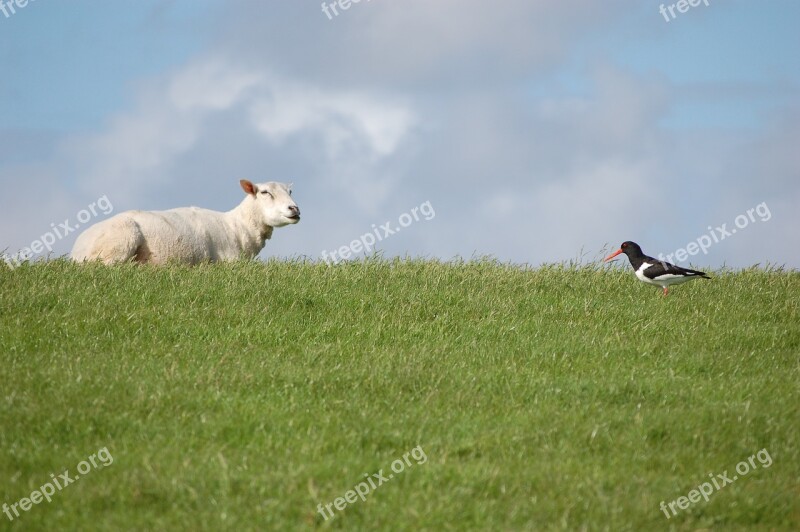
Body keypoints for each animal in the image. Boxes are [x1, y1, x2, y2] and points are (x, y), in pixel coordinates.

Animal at [71, 180, 300, 264]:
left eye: (290, 191)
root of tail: (76, 250)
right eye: (265, 192)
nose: (295, 209)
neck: (237, 226)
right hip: (119, 242)